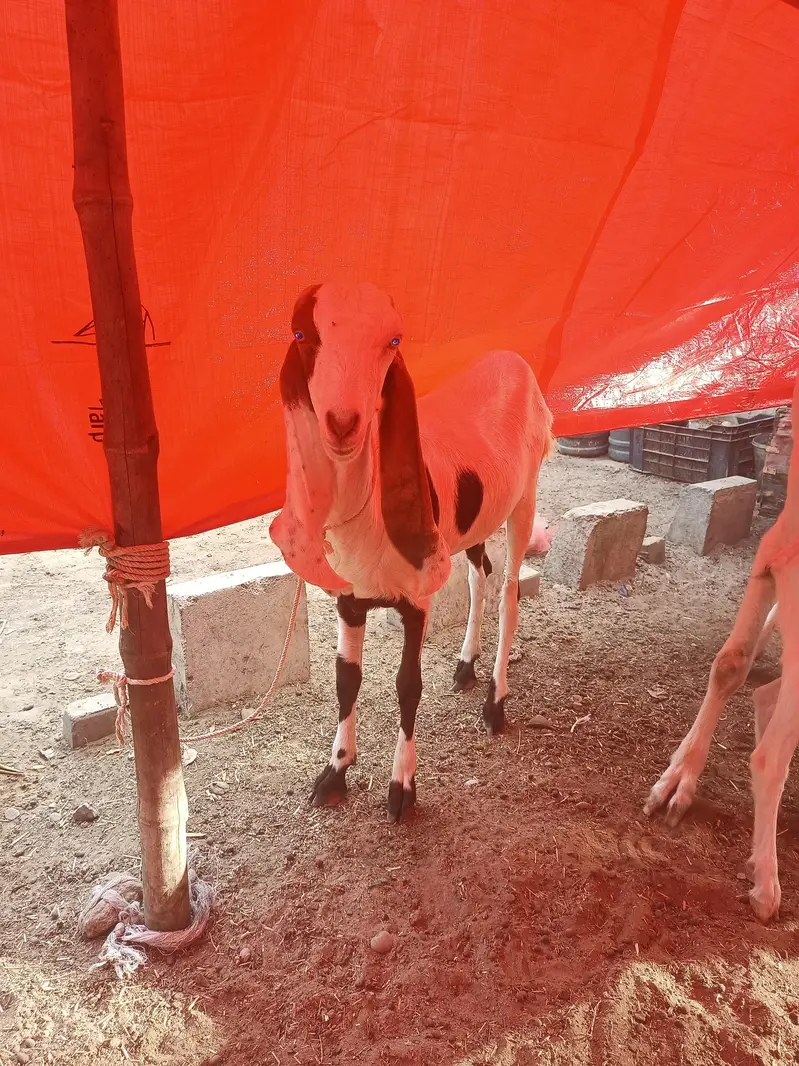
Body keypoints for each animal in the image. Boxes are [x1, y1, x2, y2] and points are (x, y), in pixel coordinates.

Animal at [270, 282, 552, 822]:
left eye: (393, 341)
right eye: (301, 334)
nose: (343, 422)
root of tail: (512, 360)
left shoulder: (417, 600)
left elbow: (407, 684)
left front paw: (402, 788)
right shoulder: (350, 599)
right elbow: (346, 679)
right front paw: (333, 775)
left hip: (524, 495)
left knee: (509, 591)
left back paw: (495, 704)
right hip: (471, 523)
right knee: (479, 575)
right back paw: (466, 666)